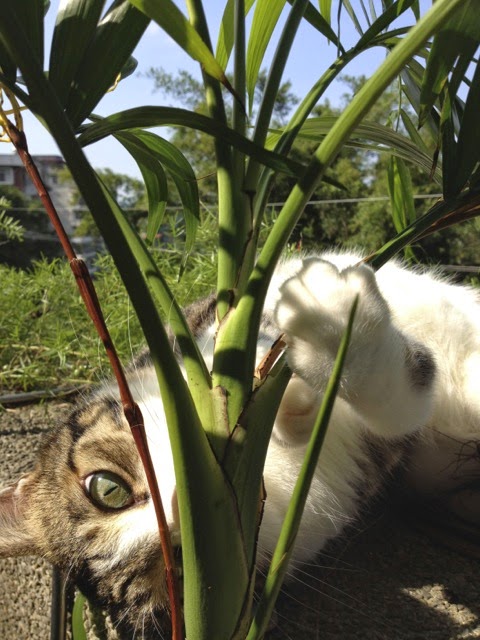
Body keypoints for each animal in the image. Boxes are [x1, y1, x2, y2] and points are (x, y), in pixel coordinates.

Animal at [1, 250, 480, 637]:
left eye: (106, 488)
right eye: (183, 571)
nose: (183, 506)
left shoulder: (213, 329)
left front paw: (320, 325)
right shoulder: (375, 457)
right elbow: (400, 401)